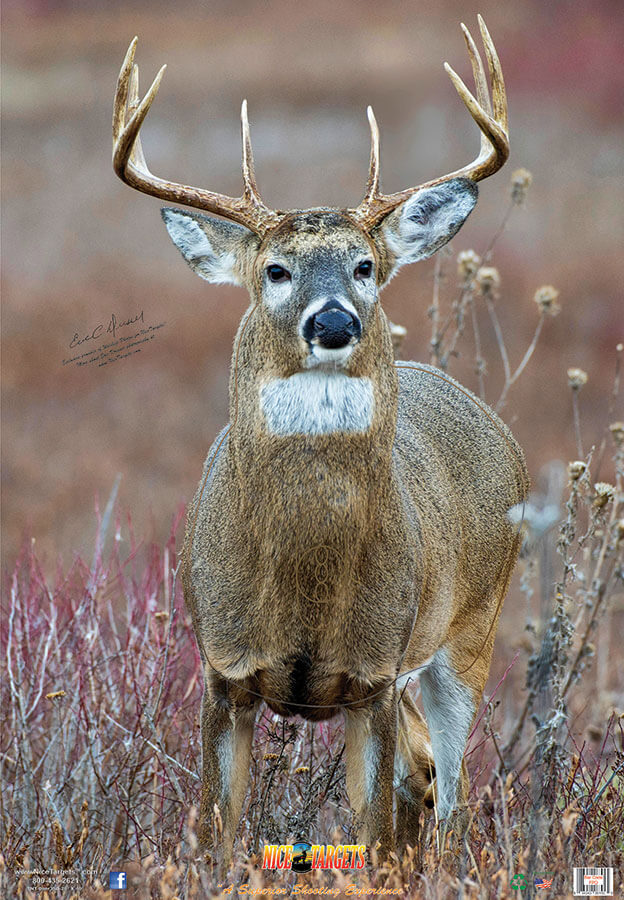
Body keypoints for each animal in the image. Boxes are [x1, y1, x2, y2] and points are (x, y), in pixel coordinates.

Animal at [112, 16, 528, 869]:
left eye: (366, 265)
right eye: (275, 269)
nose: (333, 320)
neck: (302, 586)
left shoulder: (374, 675)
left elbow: (372, 838)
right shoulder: (222, 669)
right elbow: (217, 832)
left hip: (469, 632)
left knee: (450, 794)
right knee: (423, 777)